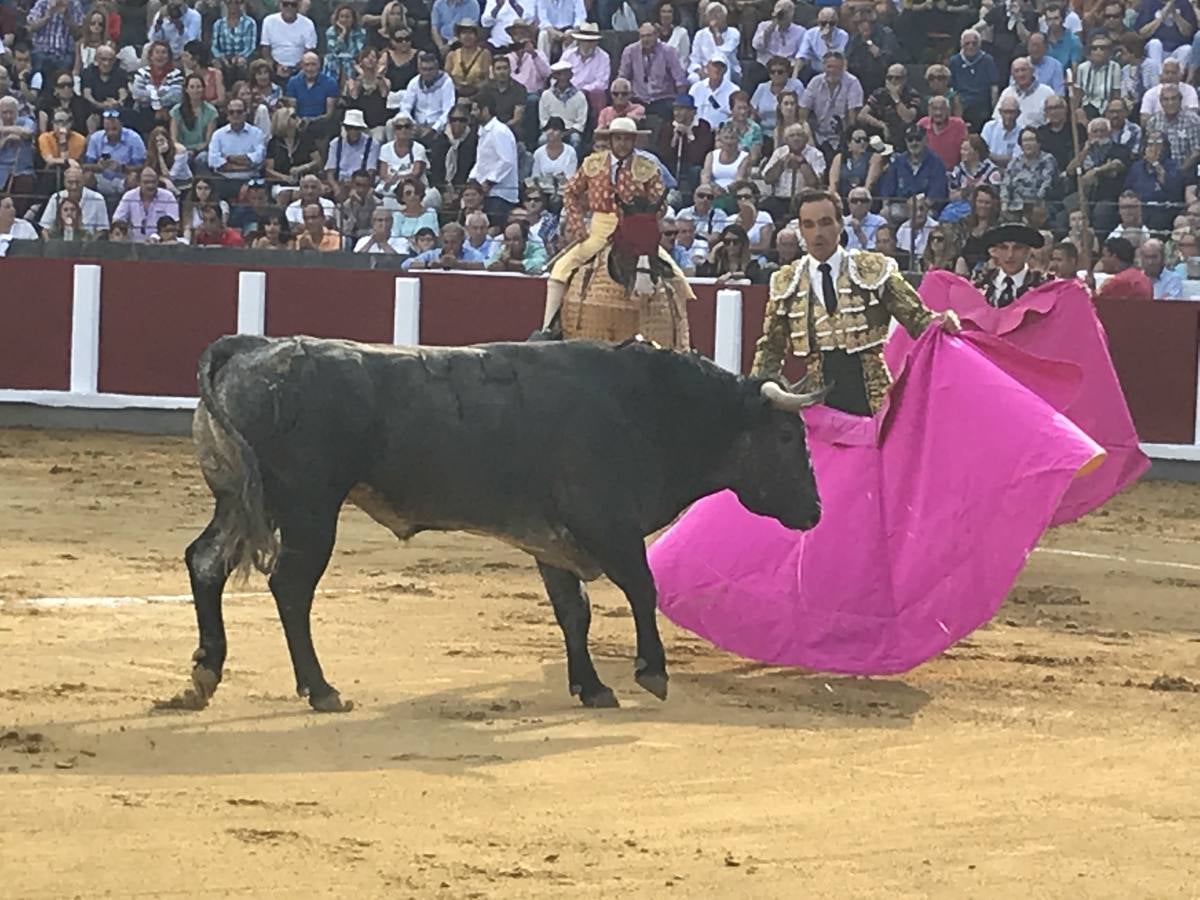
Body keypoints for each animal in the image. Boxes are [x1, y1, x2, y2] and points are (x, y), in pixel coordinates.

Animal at [166, 336, 825, 715]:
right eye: (787, 435)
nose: (816, 511)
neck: (646, 406)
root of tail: (248, 349)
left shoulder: (554, 541)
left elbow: (573, 611)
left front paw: (592, 688)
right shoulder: (608, 524)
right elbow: (642, 588)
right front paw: (651, 673)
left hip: (238, 501)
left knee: (205, 562)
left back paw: (203, 675)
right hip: (309, 509)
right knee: (290, 587)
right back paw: (321, 690)